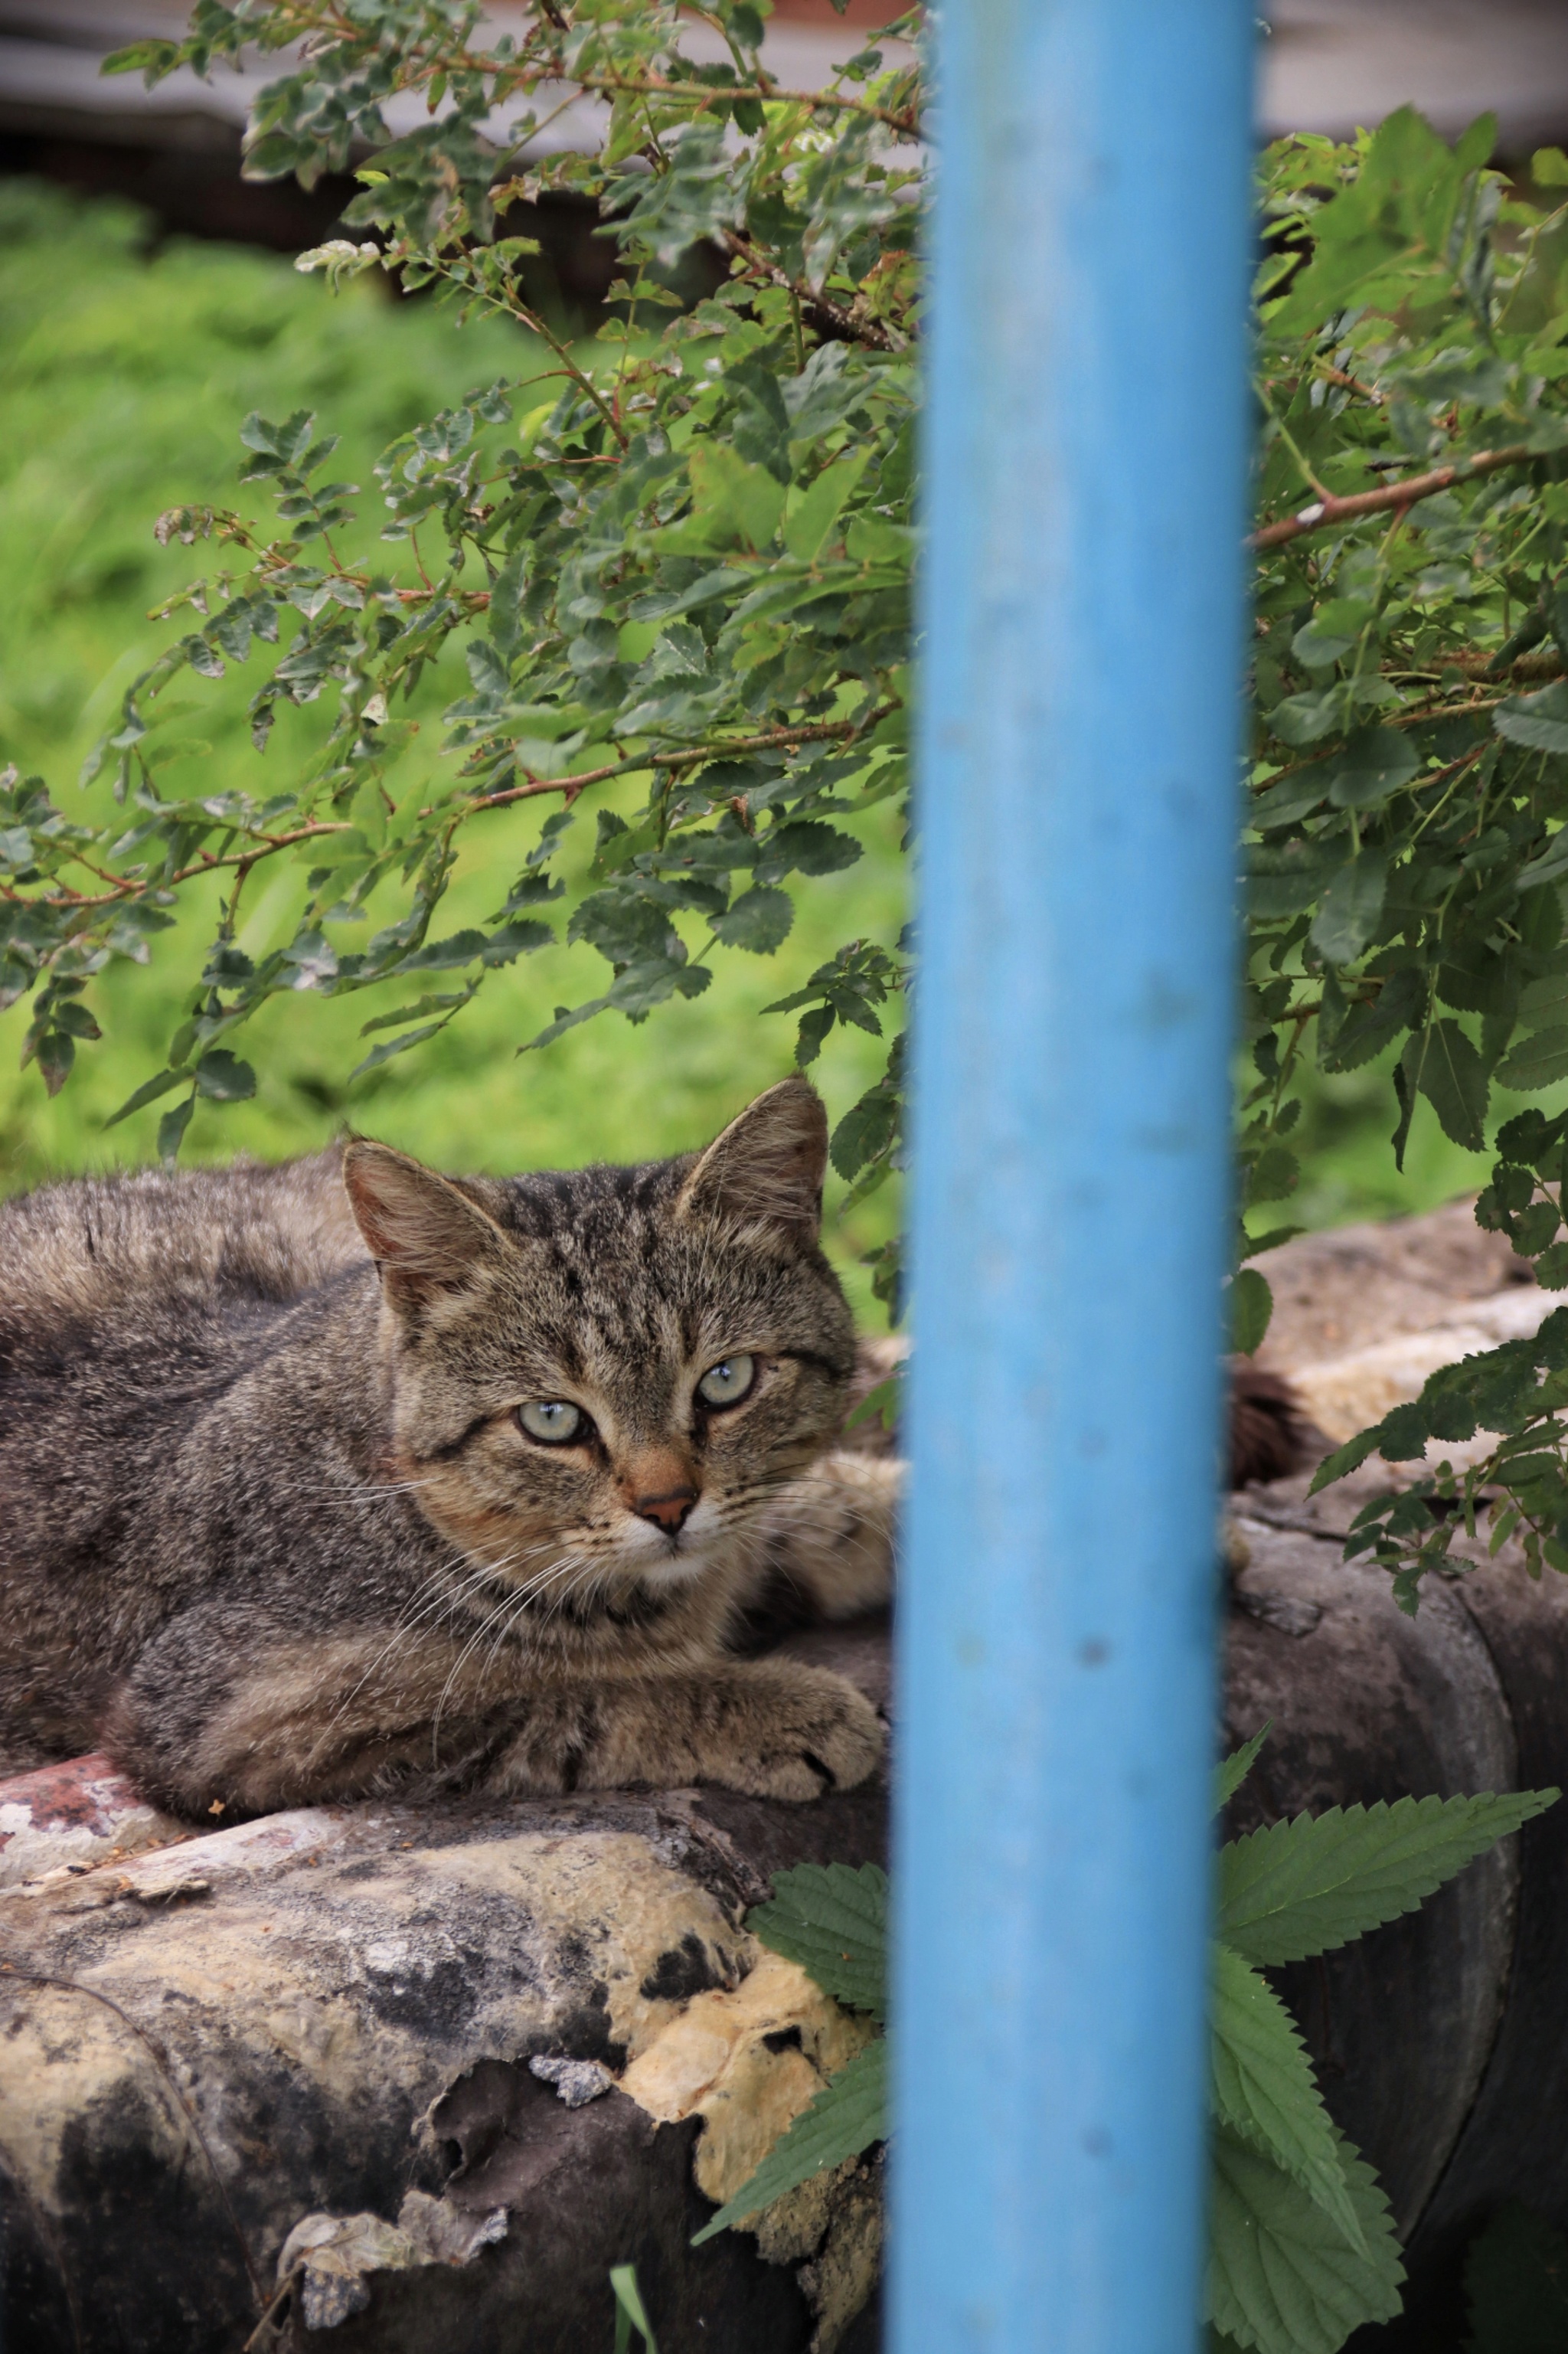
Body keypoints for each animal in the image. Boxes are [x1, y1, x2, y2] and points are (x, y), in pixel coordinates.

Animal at [0, 1083, 890, 1817]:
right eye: (551, 1419)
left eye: (726, 1380)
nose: (668, 1505)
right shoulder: (233, 1719)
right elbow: (580, 1697)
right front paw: (775, 1708)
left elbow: (793, 1513)